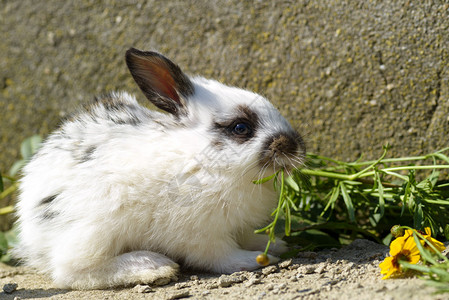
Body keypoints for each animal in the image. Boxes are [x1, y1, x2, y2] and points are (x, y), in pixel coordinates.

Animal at [14, 48, 304, 290]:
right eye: (241, 128)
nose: (294, 146)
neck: (199, 160)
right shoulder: (201, 234)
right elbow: (220, 256)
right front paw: (253, 260)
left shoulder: (237, 226)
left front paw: (275, 244)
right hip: (96, 227)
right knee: (71, 269)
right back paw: (152, 266)